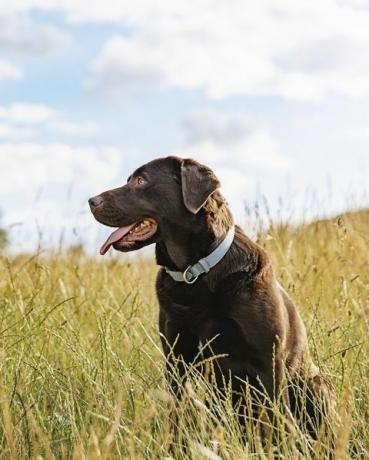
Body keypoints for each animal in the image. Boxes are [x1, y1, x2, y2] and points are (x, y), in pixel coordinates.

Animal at [88, 156, 330, 440]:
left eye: (141, 180)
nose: (91, 201)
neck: (194, 273)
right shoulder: (177, 362)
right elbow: (178, 417)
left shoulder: (269, 363)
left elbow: (273, 424)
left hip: (318, 384)